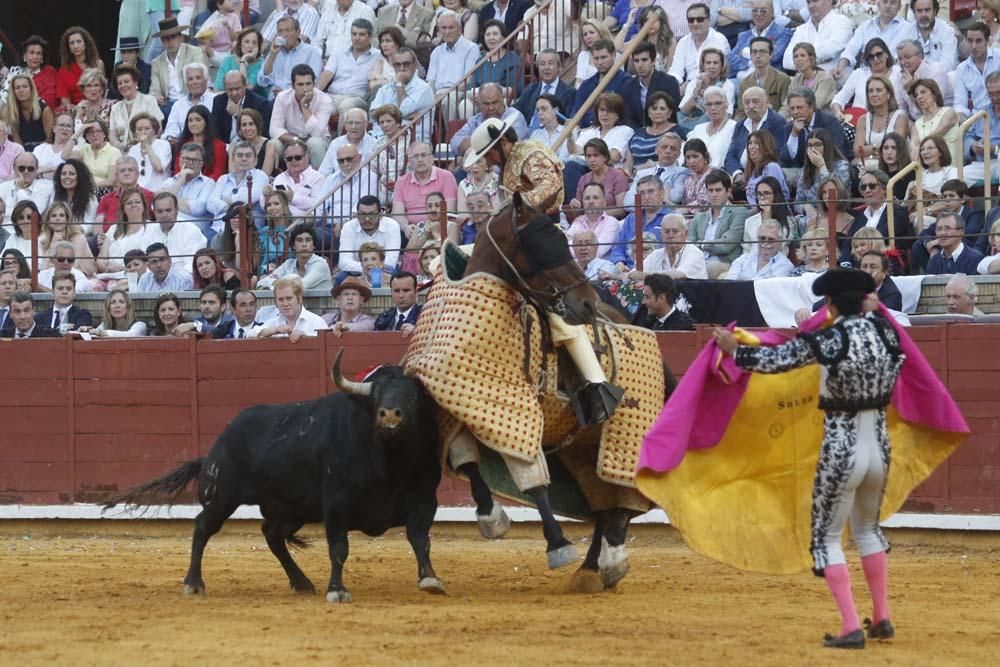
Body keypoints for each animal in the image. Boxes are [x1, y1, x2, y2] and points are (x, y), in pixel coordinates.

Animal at [101, 352, 442, 604]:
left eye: (413, 397)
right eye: (376, 397)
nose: (390, 415)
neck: (389, 460)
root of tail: (218, 443)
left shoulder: (425, 500)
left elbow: (420, 539)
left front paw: (430, 579)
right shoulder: (336, 503)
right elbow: (338, 547)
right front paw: (337, 590)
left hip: (290, 508)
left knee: (272, 534)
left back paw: (301, 582)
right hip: (223, 496)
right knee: (203, 527)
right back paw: (194, 583)